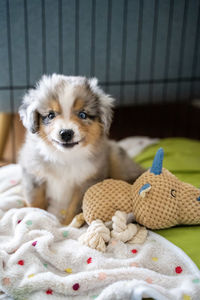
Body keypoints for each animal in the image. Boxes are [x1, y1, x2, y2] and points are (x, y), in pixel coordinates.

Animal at [18, 74, 144, 225]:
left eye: (83, 115)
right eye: (50, 115)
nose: (66, 133)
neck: (64, 157)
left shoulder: (86, 182)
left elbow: (75, 208)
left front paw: (67, 225)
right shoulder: (33, 174)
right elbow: (36, 202)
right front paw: (36, 214)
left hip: (116, 159)